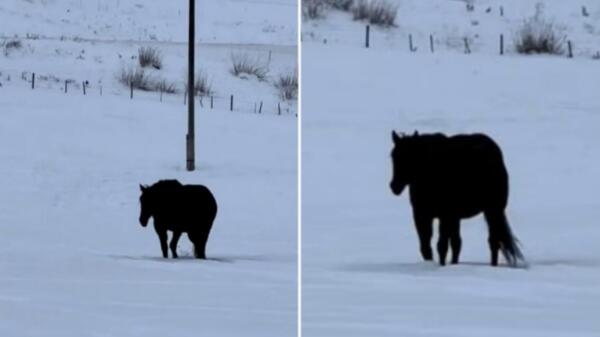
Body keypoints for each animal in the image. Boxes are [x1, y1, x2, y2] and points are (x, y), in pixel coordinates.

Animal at [392, 131, 524, 266]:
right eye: (394, 156)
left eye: (410, 157)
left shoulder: (444, 216)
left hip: (492, 211)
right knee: (458, 243)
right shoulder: (422, 215)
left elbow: (442, 246)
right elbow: (426, 247)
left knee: (493, 242)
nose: (394, 186)